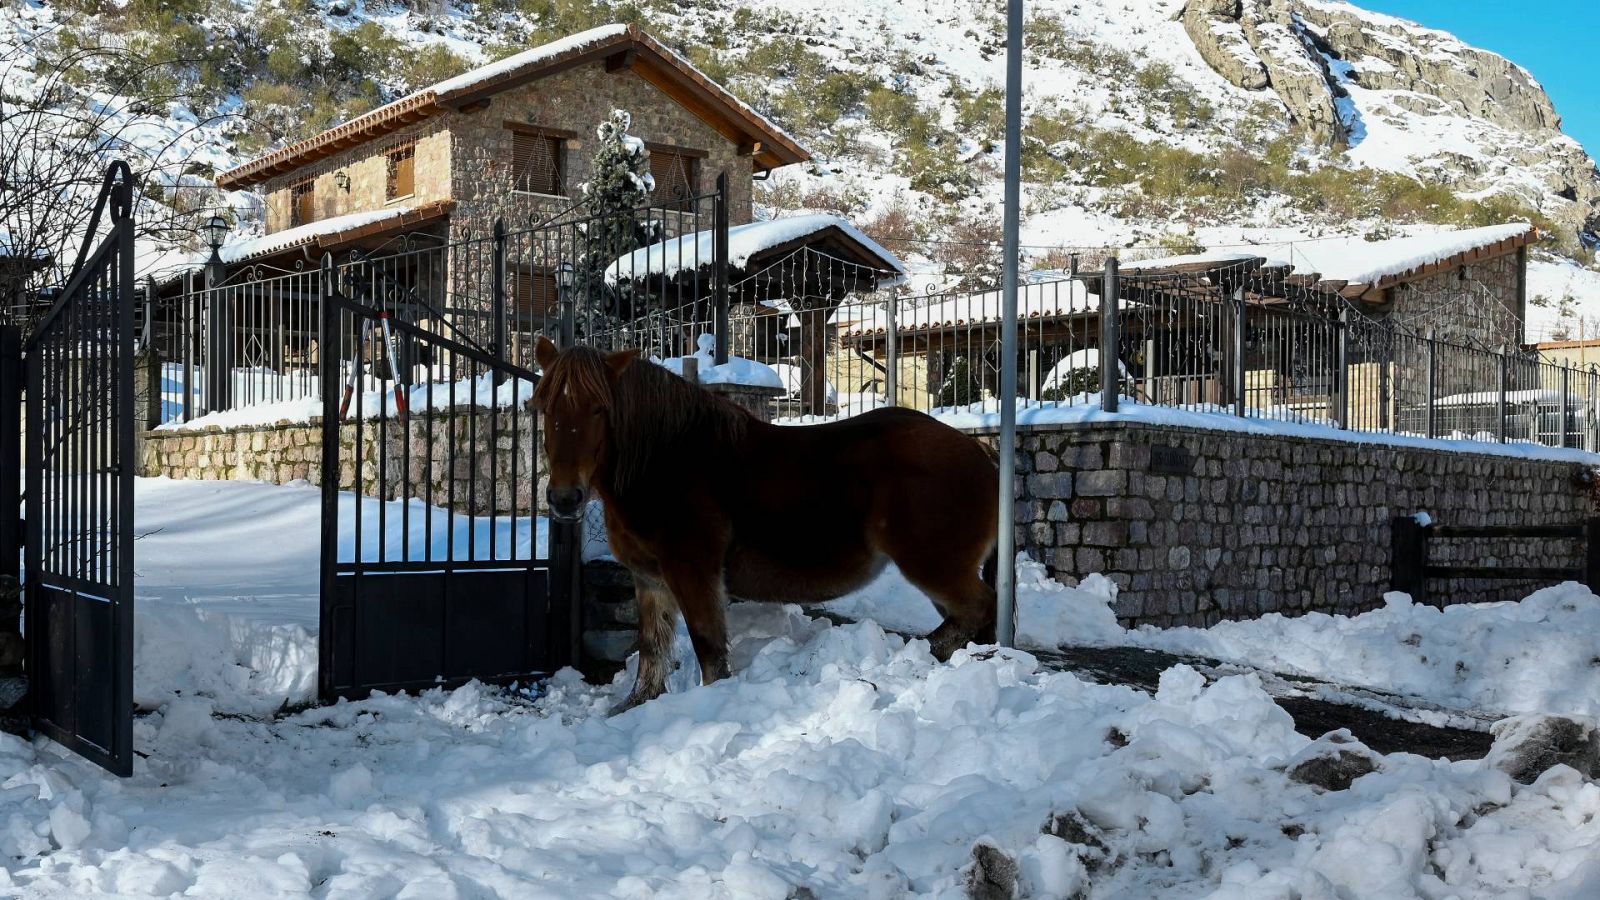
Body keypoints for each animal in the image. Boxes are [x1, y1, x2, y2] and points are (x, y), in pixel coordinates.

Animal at [531, 336, 992, 707]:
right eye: (544, 406)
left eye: (599, 409)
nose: (565, 498)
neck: (665, 461)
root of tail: (982, 455)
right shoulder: (650, 579)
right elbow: (651, 654)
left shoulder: (693, 572)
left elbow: (710, 651)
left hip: (935, 568)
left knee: (976, 612)